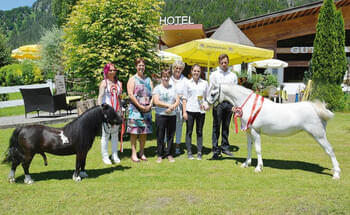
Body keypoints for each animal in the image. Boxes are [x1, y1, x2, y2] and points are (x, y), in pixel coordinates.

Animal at [206, 84, 340, 180]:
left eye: (213, 94)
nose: (204, 106)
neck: (251, 105)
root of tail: (315, 107)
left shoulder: (255, 132)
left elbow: (258, 149)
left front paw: (258, 168)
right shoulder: (248, 132)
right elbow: (249, 148)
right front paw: (246, 164)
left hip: (319, 135)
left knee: (330, 150)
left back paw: (336, 174)